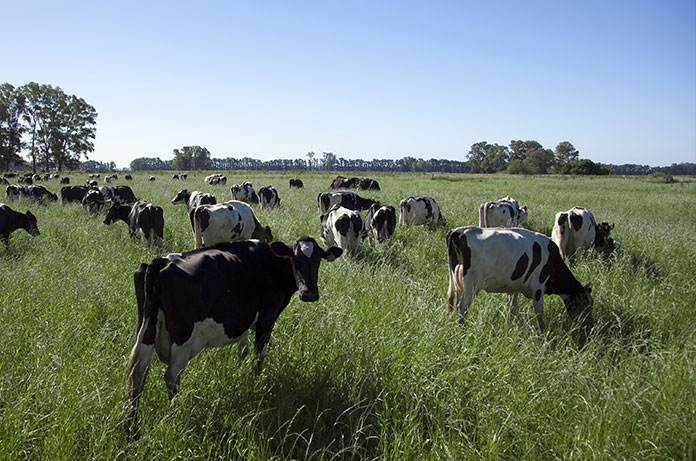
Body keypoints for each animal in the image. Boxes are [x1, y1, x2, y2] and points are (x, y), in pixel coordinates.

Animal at [126, 235, 344, 434]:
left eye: (317, 262)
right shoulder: (266, 320)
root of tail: (161, 262)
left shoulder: (244, 324)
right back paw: (174, 417)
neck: (271, 264)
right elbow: (259, 356)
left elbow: (243, 351)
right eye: (296, 262)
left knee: (137, 375)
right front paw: (257, 384)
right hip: (182, 338)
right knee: (171, 377)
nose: (309, 294)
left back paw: (133, 429)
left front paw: (240, 376)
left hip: (146, 331)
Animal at [446, 225, 592, 344]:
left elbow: (511, 308)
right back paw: (463, 333)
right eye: (585, 304)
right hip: (471, 283)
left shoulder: (514, 287)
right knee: (462, 307)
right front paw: (543, 334)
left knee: (458, 303)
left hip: (459, 282)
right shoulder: (538, 287)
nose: (588, 328)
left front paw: (509, 326)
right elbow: (539, 312)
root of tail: (459, 231)